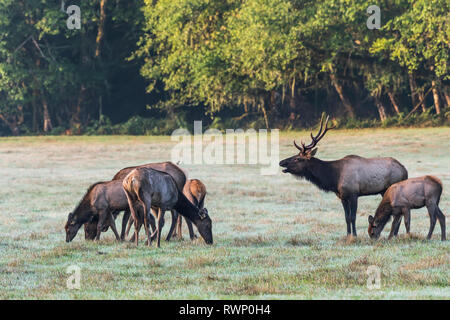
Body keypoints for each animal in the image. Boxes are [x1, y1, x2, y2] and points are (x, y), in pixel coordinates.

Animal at [278, 115, 408, 238]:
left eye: (297, 158)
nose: (281, 162)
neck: (334, 178)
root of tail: (405, 170)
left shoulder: (354, 193)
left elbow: (353, 217)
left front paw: (354, 235)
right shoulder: (342, 196)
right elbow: (346, 217)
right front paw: (347, 235)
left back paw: (395, 234)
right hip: (383, 191)